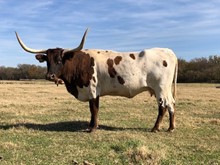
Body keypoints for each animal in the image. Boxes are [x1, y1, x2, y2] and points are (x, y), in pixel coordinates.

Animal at [15, 29, 177, 133]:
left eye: (60, 60)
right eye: (47, 61)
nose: (50, 76)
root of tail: (169, 52)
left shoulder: (92, 90)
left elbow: (94, 109)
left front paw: (92, 128)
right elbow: (93, 109)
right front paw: (91, 126)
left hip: (160, 89)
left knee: (163, 107)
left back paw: (155, 128)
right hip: (165, 89)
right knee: (171, 105)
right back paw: (170, 127)